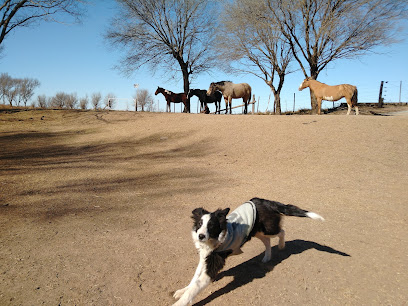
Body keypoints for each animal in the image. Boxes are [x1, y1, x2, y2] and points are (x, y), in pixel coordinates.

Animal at [173, 197, 326, 304]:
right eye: (199, 224)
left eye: (211, 226)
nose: (200, 236)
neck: (215, 239)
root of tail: (267, 202)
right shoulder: (205, 257)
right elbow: (194, 278)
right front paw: (182, 291)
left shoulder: (213, 263)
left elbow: (196, 286)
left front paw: (181, 302)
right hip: (257, 231)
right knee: (267, 241)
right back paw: (267, 258)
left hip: (268, 228)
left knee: (281, 231)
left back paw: (281, 246)